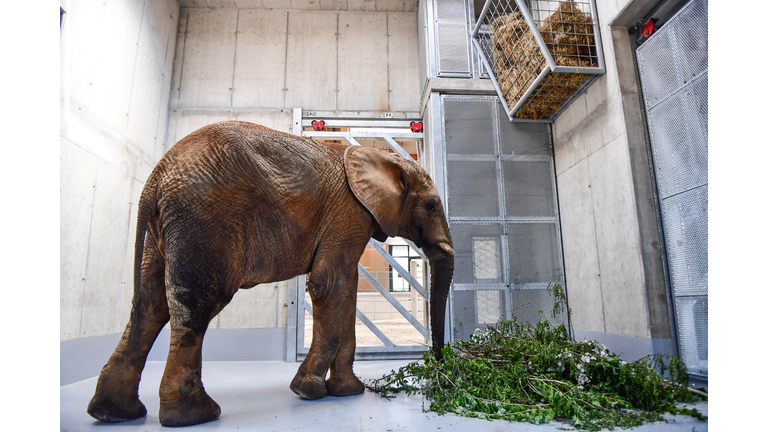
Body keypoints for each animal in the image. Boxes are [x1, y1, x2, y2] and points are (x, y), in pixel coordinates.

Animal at [87, 120, 452, 426]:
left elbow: (346, 291)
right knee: (196, 307)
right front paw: (308, 392)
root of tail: (155, 177)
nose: (437, 366)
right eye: (431, 206)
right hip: (204, 220)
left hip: (162, 231)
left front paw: (349, 391)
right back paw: (195, 416)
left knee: (150, 306)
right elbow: (329, 285)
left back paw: (114, 413)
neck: (383, 158)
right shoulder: (349, 212)